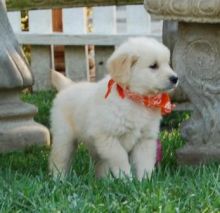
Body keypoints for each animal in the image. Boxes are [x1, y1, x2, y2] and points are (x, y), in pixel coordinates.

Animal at [48, 36, 177, 180]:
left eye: (167, 64)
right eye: (153, 66)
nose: (175, 78)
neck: (136, 99)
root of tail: (68, 86)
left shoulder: (145, 139)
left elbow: (144, 162)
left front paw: (144, 181)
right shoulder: (107, 137)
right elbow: (120, 158)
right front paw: (126, 179)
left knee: (100, 163)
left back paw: (103, 180)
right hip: (64, 137)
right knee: (59, 159)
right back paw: (58, 179)